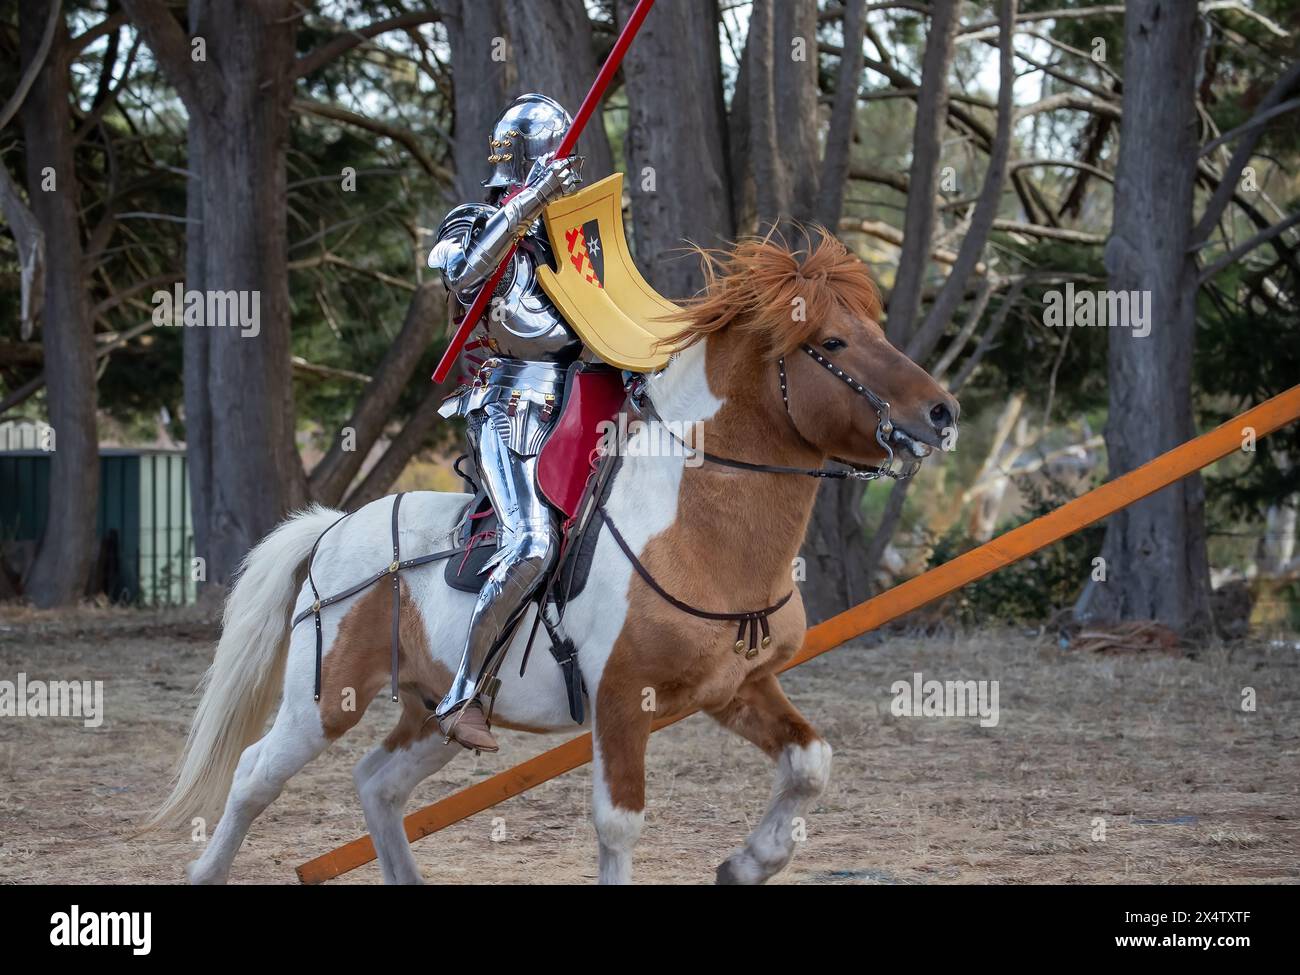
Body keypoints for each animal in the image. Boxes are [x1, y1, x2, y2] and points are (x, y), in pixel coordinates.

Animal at [149, 228, 956, 883]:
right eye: (833, 342)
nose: (942, 413)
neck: (698, 533)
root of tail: (334, 529)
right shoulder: (623, 702)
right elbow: (619, 824)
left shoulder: (739, 688)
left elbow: (810, 764)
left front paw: (747, 862)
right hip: (322, 702)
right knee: (254, 773)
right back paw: (205, 872)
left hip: (438, 711)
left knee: (378, 781)